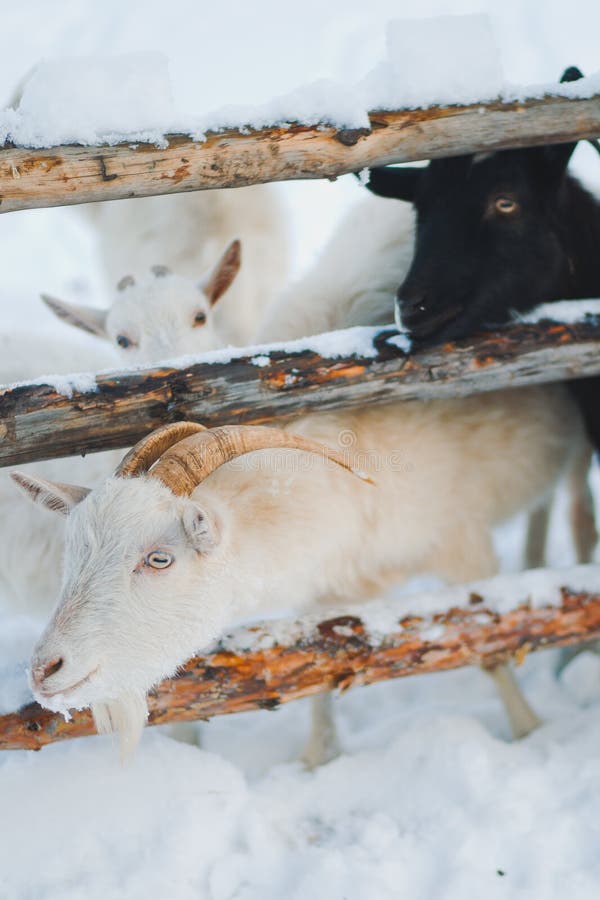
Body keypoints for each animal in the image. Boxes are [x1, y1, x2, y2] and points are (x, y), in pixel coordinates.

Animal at [14, 384, 586, 758]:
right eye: (74, 553)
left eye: (159, 558)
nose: (44, 670)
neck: (360, 491)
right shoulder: (329, 590)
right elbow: (321, 668)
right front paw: (319, 758)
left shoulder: (464, 547)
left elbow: (490, 646)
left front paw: (529, 731)